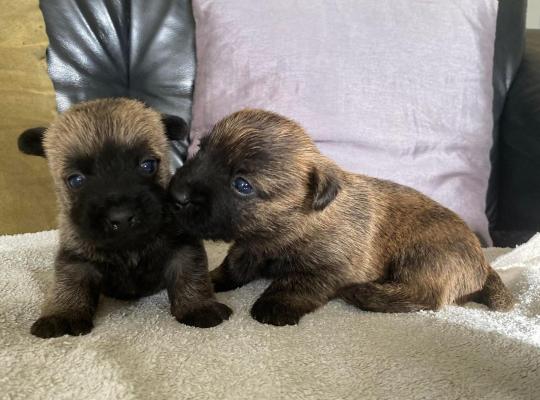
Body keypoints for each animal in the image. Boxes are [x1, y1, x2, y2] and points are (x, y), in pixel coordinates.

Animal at [17, 97, 230, 338]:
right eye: (76, 180)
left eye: (147, 165)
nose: (121, 217)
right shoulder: (76, 259)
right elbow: (68, 286)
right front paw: (62, 314)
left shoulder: (182, 249)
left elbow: (191, 277)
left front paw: (198, 306)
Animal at [169, 108, 516, 324]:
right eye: (200, 151)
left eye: (242, 185)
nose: (176, 196)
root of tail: (483, 264)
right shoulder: (248, 247)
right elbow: (233, 266)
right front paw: (212, 281)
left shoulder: (329, 267)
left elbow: (295, 283)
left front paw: (275, 305)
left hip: (425, 255)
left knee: (427, 295)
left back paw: (362, 292)